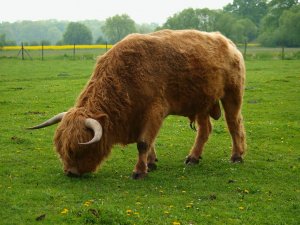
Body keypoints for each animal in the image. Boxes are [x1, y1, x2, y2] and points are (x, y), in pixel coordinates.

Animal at [28, 29, 246, 179]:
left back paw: (237, 156)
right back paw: (193, 158)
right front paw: (151, 162)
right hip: (201, 102)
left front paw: (139, 171)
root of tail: (228, 42)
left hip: (232, 95)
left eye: (77, 149)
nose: (70, 172)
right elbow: (149, 143)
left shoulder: (155, 111)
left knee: (234, 124)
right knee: (204, 130)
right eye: (61, 148)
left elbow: (143, 143)